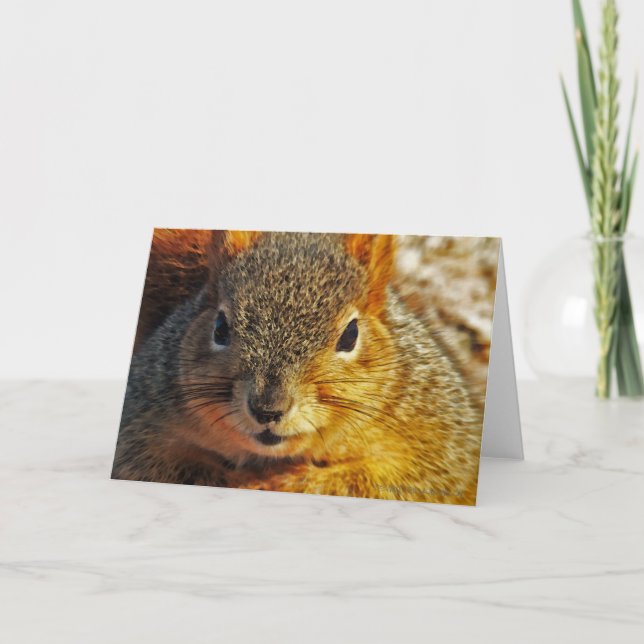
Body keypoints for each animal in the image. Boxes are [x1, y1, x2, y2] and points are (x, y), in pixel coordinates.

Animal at [112, 230, 483, 504]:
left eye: (351, 335)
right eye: (219, 327)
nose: (267, 409)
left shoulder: (440, 445)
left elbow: (395, 483)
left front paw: (291, 482)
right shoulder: (143, 425)